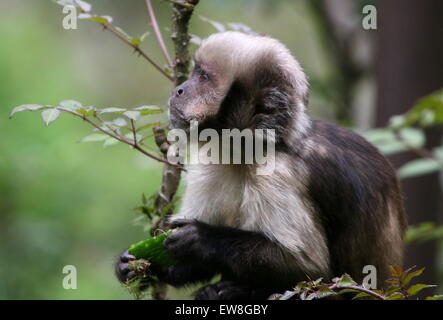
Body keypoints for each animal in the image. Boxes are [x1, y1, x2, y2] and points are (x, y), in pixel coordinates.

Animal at [116, 31, 408, 298]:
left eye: (204, 78)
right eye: (196, 73)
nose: (179, 90)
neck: (251, 151)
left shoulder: (280, 172)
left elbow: (312, 271)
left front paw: (201, 239)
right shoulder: (215, 159)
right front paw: (136, 266)